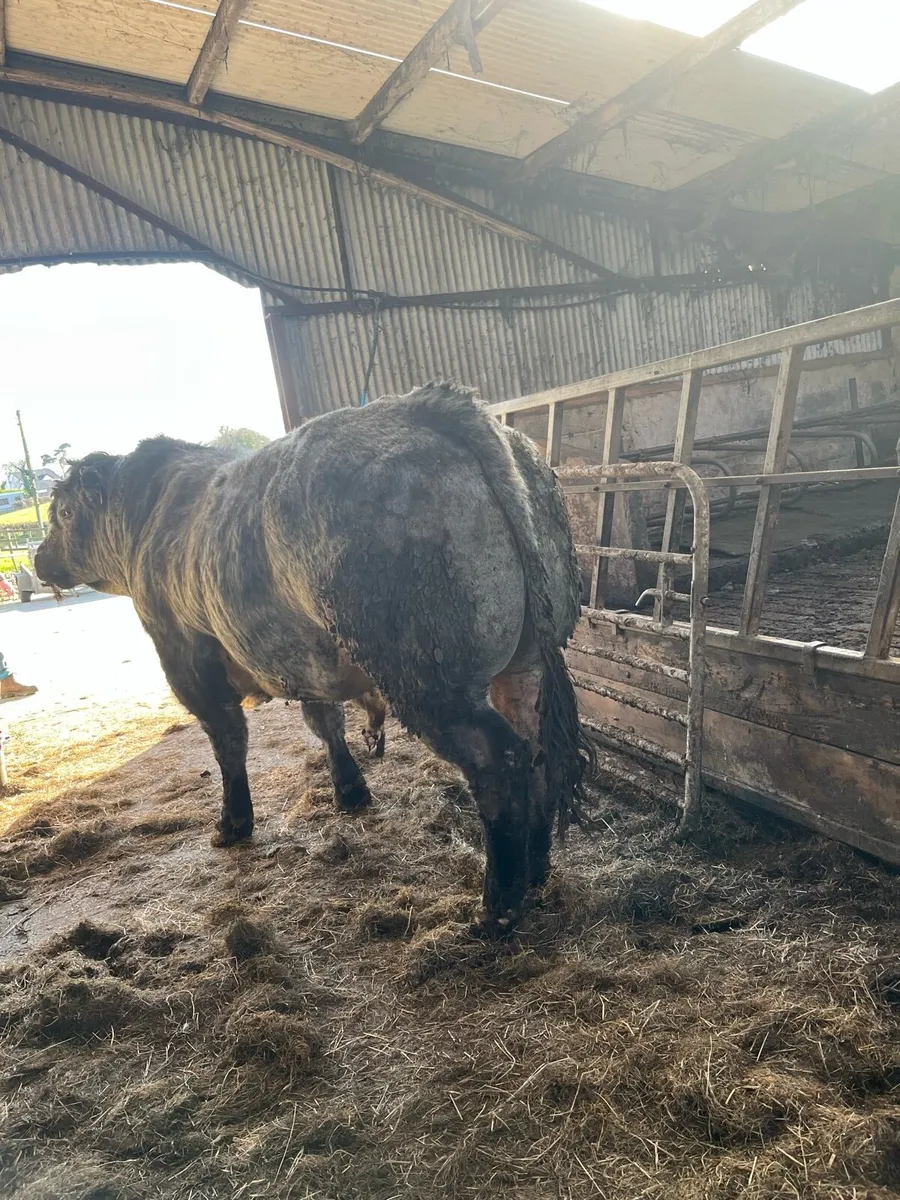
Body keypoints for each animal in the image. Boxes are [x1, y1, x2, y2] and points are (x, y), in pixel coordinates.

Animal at [35, 382, 594, 935]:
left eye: (63, 513)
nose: (39, 558)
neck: (144, 517)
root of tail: (432, 405)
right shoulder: (303, 658)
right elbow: (325, 723)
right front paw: (350, 791)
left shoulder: (186, 656)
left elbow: (228, 743)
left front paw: (232, 824)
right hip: (525, 662)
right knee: (535, 748)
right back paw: (536, 870)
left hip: (428, 673)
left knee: (498, 760)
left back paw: (498, 907)